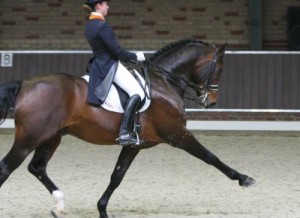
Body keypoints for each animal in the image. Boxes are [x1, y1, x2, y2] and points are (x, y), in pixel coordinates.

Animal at [0, 39, 255, 218]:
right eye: (219, 68)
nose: (210, 102)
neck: (163, 82)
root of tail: (25, 85)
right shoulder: (178, 135)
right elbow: (211, 157)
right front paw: (243, 178)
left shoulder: (134, 145)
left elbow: (117, 175)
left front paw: (102, 209)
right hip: (30, 138)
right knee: (7, 167)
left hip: (51, 137)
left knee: (37, 167)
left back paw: (59, 204)